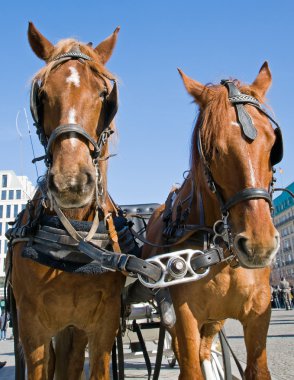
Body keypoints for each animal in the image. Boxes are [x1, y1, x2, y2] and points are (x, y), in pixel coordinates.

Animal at [144, 63, 282, 378]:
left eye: (273, 147)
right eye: (214, 150)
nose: (259, 245)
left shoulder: (259, 311)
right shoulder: (184, 316)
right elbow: (190, 365)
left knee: (206, 348)